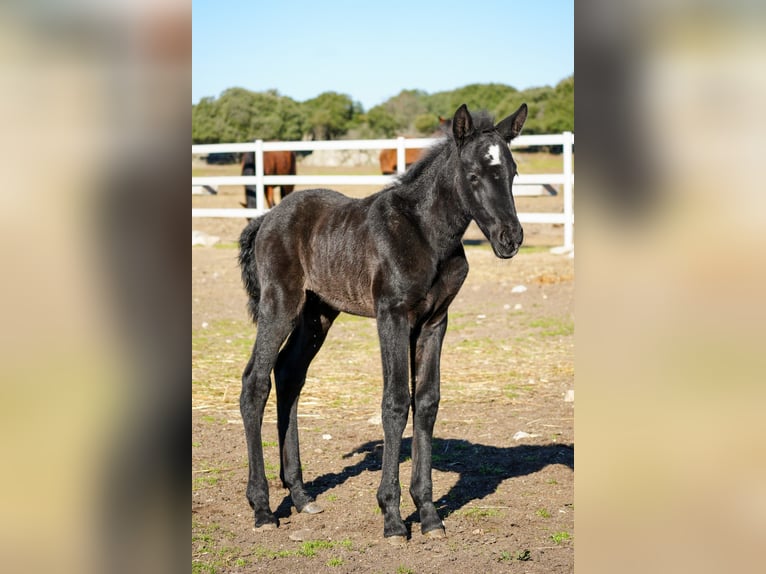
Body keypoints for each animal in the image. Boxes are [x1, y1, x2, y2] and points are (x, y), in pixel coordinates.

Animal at [238, 102, 527, 543]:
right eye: (474, 175)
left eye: (512, 173)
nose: (510, 239)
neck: (426, 235)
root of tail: (267, 219)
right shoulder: (392, 317)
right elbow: (395, 403)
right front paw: (392, 516)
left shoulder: (434, 323)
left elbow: (426, 402)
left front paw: (428, 514)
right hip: (280, 306)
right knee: (255, 382)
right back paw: (262, 507)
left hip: (318, 314)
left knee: (289, 375)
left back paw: (301, 496)